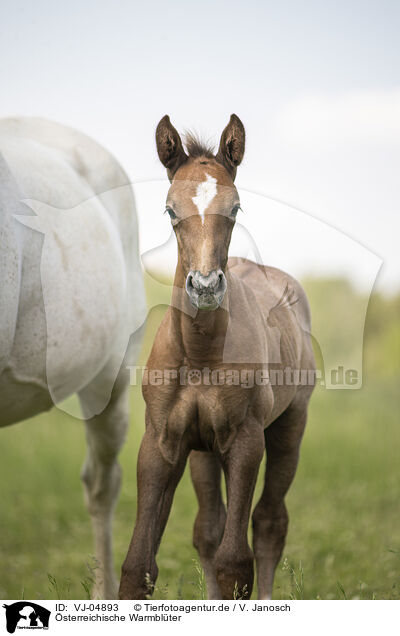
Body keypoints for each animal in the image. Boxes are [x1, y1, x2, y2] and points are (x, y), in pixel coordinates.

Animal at [119, 115, 316, 600]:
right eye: (170, 210)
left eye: (236, 208)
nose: (205, 286)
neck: (200, 355)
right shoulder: (162, 443)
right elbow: (138, 568)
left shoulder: (245, 441)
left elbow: (235, 564)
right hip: (202, 451)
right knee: (208, 529)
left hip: (289, 426)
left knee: (269, 522)